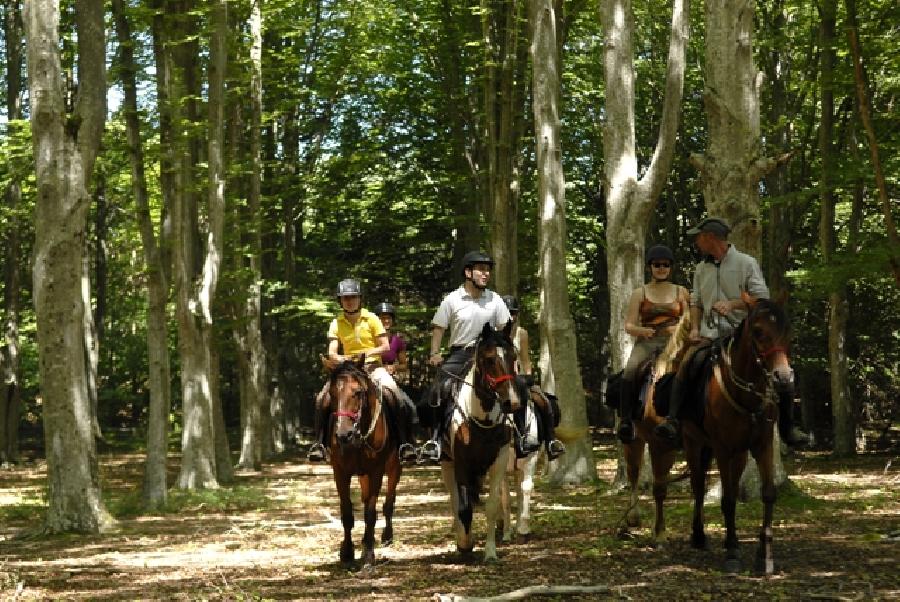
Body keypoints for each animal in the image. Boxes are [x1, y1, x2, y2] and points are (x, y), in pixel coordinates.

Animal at [324, 354, 400, 564]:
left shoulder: (376, 472)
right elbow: (347, 512)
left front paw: (368, 556)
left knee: (389, 502)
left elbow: (370, 513)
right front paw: (347, 552)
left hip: (393, 467)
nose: (343, 435)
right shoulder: (340, 472)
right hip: (362, 475)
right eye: (332, 394)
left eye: (358, 392)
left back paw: (386, 536)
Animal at [442, 322, 524, 560]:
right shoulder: (461, 463)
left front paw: (490, 552)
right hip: (447, 463)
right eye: (489, 359)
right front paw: (464, 544)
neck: (481, 416)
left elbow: (492, 505)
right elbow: (463, 507)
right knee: (454, 500)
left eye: (513, 356)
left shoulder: (498, 461)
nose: (512, 403)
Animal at [616, 310, 692, 544]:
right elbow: (659, 489)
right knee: (633, 473)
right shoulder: (660, 446)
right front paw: (658, 533)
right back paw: (632, 518)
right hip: (633, 440)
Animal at [684, 294, 796, 572]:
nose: (783, 377)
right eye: (757, 331)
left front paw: (764, 554)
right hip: (693, 443)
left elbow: (767, 493)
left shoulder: (762, 445)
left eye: (788, 329)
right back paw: (699, 536)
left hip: (738, 453)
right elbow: (727, 500)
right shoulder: (722, 449)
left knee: (730, 485)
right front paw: (733, 553)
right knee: (699, 487)